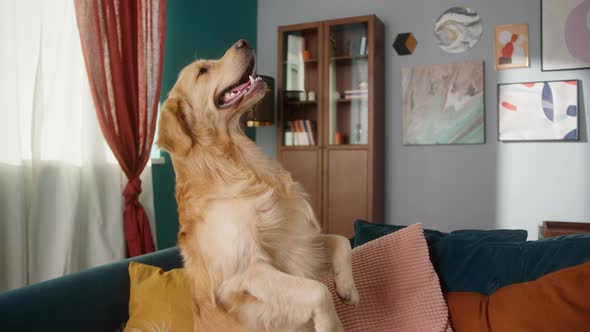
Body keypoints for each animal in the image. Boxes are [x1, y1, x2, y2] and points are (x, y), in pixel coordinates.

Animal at [157, 40, 358, 330]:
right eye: (203, 71)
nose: (244, 42)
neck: (237, 163)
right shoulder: (247, 272)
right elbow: (318, 291)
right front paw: (330, 324)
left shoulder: (301, 237)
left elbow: (342, 241)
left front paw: (347, 288)